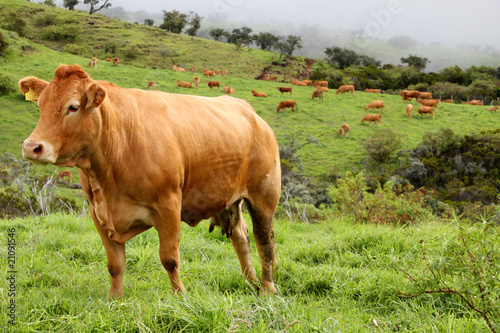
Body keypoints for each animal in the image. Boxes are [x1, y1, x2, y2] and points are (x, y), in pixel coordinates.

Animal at [19, 64, 282, 296]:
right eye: (40, 105)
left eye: (72, 107)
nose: (32, 147)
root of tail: (249, 111)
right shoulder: (98, 213)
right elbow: (115, 264)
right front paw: (115, 299)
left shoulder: (168, 206)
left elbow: (170, 259)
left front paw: (180, 297)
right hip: (228, 199)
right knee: (241, 237)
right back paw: (250, 281)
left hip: (264, 197)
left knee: (264, 242)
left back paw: (267, 289)